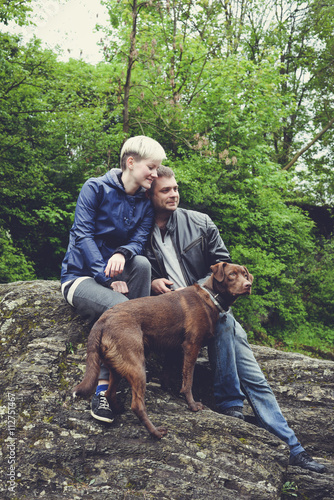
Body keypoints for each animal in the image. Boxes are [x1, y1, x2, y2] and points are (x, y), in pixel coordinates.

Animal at [72, 262, 250, 438]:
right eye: (232, 274)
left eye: (245, 274)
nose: (248, 285)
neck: (211, 297)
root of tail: (102, 320)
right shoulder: (191, 346)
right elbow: (188, 381)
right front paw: (192, 405)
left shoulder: (173, 350)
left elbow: (169, 375)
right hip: (137, 365)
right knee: (137, 405)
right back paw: (156, 432)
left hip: (116, 365)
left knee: (109, 392)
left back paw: (118, 410)